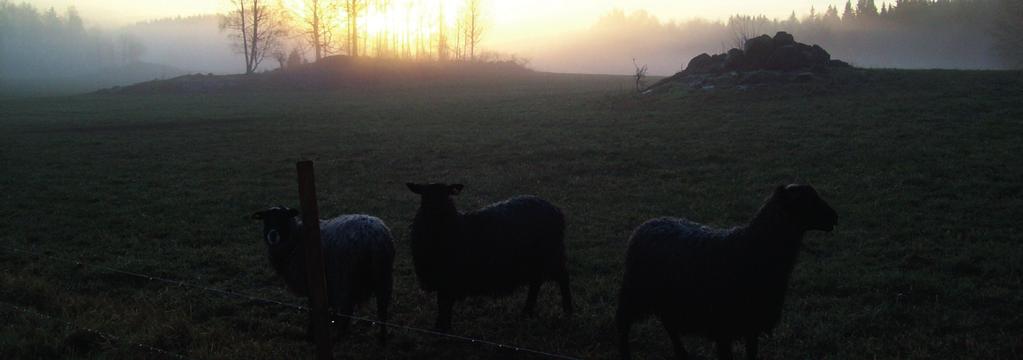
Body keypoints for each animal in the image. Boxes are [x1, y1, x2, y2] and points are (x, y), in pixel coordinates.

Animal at [251, 205, 394, 343]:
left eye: (283, 217)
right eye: (266, 219)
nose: (272, 235)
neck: (296, 238)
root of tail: (373, 237)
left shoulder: (314, 281)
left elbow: (313, 307)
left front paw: (311, 334)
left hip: (345, 278)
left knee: (348, 309)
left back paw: (339, 337)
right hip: (383, 277)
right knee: (382, 310)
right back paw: (382, 338)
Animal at [403, 183, 572, 331]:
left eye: (448, 195)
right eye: (424, 198)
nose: (438, 214)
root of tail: (556, 210)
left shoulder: (450, 280)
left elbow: (445, 305)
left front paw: (444, 330)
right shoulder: (442, 282)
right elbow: (442, 305)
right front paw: (439, 327)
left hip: (551, 255)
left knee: (563, 278)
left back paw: (567, 311)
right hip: (534, 261)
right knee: (536, 283)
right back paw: (527, 311)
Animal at [617, 186, 834, 360]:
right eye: (807, 201)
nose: (835, 217)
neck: (753, 246)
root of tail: (646, 224)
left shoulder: (751, 323)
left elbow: (752, 354)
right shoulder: (723, 326)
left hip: (668, 298)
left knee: (669, 323)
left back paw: (682, 353)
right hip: (635, 291)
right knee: (624, 322)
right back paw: (626, 353)